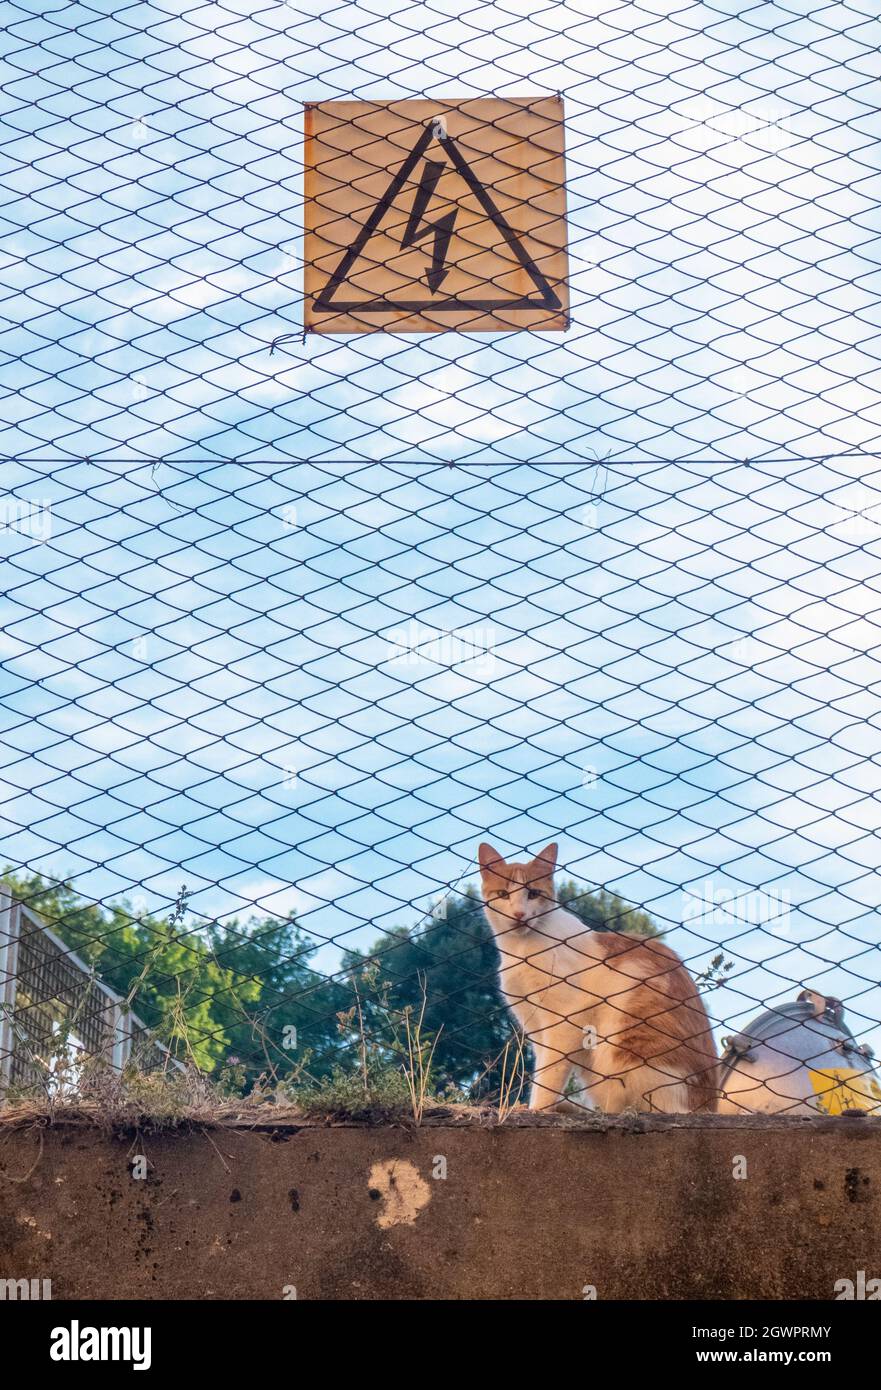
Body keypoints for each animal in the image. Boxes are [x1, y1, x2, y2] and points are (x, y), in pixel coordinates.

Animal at [478, 839, 717, 1112]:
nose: (519, 914)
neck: (520, 949)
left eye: (534, 894)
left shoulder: (565, 1021)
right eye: (503, 894)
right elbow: (542, 1071)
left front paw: (538, 1109)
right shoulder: (537, 1028)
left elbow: (549, 1076)